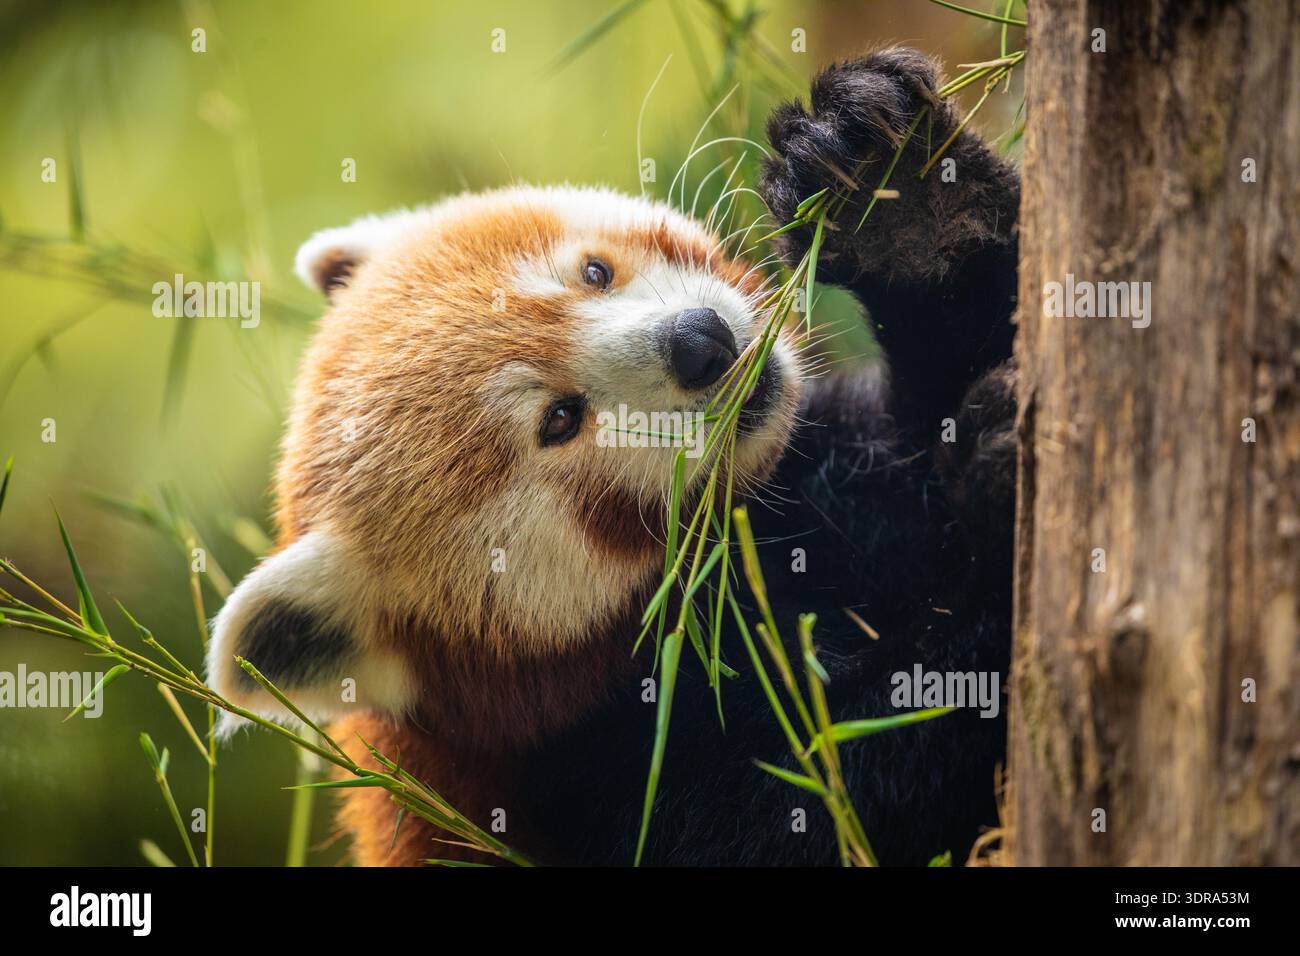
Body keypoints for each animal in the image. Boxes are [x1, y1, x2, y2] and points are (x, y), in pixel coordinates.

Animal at [207, 48, 1020, 866]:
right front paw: (997, 575)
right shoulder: (600, 782)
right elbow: (847, 785)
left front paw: (909, 210)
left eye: (594, 273)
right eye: (560, 420)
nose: (700, 343)